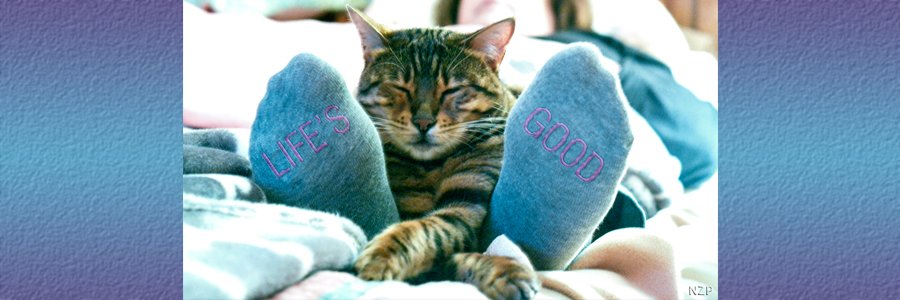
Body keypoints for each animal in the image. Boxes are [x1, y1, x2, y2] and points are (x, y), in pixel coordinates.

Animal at [346, 6, 540, 300]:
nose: (423, 122)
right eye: (401, 87)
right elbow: (428, 237)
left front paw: (382, 254)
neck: (431, 167)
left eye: (452, 89)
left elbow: (429, 230)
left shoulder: (466, 204)